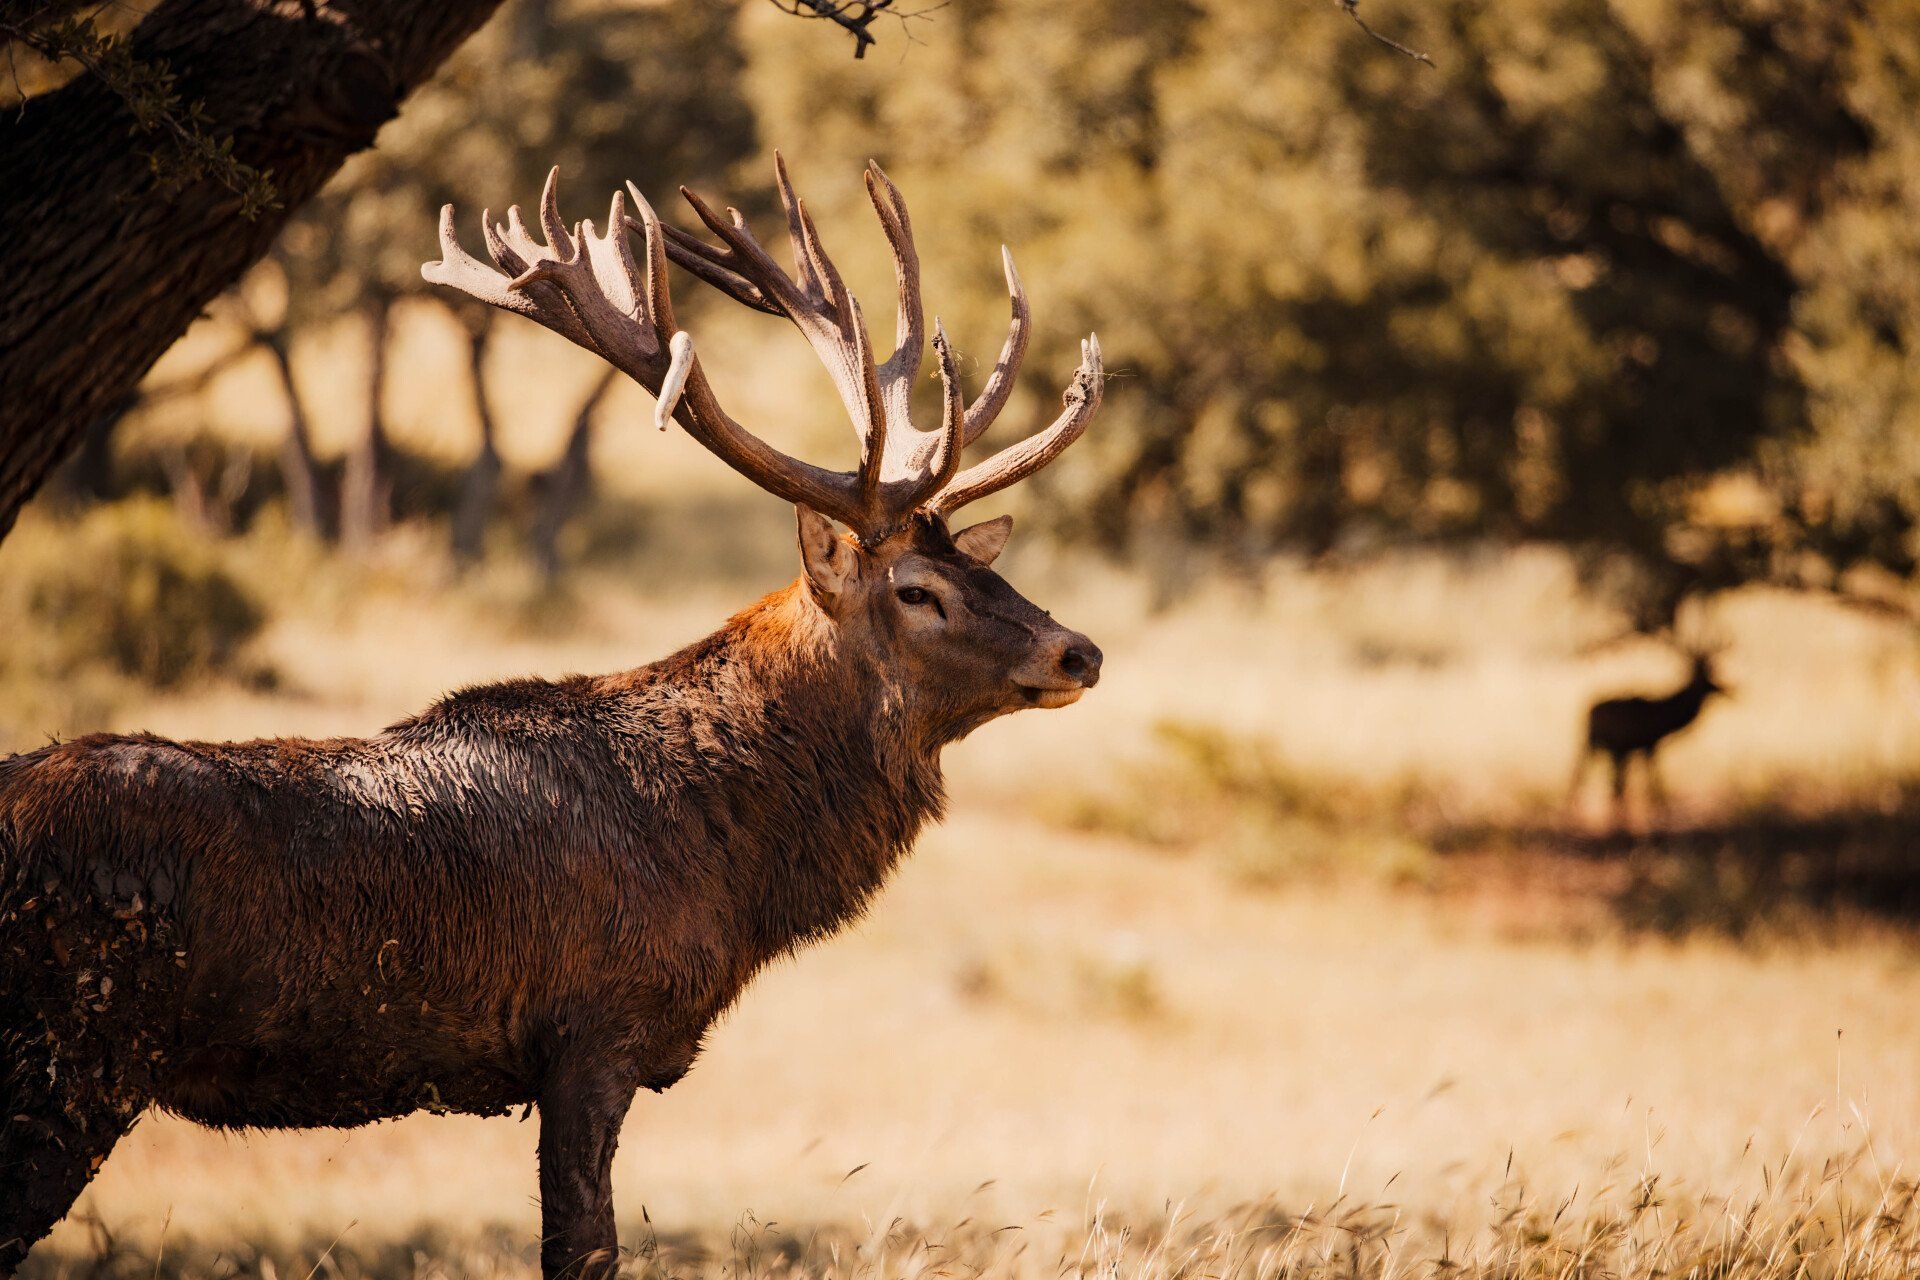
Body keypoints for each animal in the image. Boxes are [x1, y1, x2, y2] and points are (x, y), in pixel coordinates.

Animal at [0, 158, 1104, 1279]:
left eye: (984, 565)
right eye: (919, 590)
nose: (1078, 650)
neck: (730, 863)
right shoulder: (593, 1029)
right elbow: (584, 1247)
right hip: (68, 1053)